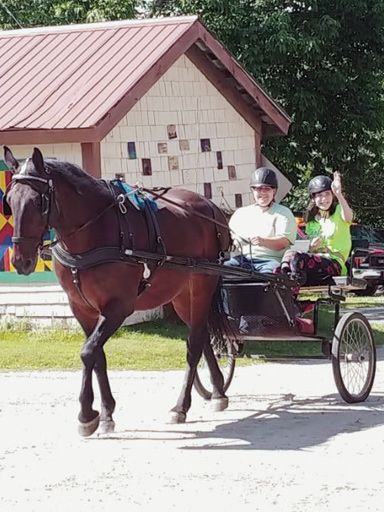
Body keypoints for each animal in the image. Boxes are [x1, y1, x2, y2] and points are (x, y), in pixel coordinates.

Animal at [3, 147, 231, 436]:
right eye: (9, 201)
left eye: (37, 201)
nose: (20, 261)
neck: (93, 233)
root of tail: (210, 206)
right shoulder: (81, 308)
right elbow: (97, 356)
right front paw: (106, 412)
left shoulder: (118, 307)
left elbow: (88, 352)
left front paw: (86, 414)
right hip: (181, 296)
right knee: (201, 336)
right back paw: (218, 391)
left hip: (202, 286)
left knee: (194, 343)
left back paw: (181, 406)